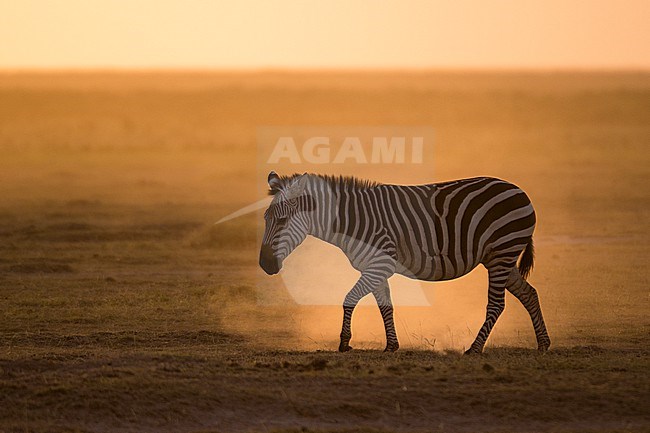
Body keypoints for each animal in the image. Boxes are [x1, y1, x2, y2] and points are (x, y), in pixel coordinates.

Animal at [258, 170, 548, 352]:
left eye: (282, 221)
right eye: (266, 219)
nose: (264, 265)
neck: (352, 221)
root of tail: (518, 190)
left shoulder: (380, 264)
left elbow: (349, 299)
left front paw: (344, 342)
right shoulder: (375, 267)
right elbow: (385, 306)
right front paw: (391, 346)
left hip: (502, 252)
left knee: (497, 304)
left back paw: (474, 349)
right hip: (500, 257)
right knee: (529, 293)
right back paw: (543, 343)